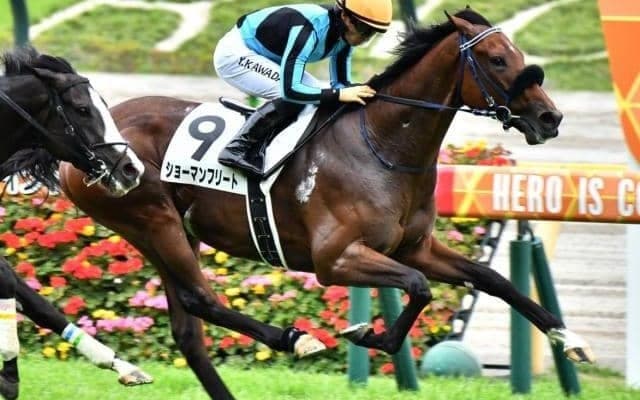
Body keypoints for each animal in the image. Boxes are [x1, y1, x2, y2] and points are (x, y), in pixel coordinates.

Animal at [0, 47, 149, 399]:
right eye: (82, 109)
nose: (131, 169)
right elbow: (10, 283)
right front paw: (9, 370)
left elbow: (35, 300)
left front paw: (121, 365)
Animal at [59, 9, 593, 399]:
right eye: (497, 59)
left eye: (517, 54)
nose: (550, 118)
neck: (382, 146)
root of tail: (92, 137)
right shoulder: (335, 260)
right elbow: (418, 287)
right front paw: (368, 335)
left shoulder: (415, 247)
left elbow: (490, 278)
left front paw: (570, 339)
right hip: (152, 220)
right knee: (201, 301)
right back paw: (297, 338)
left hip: (169, 231)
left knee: (189, 329)